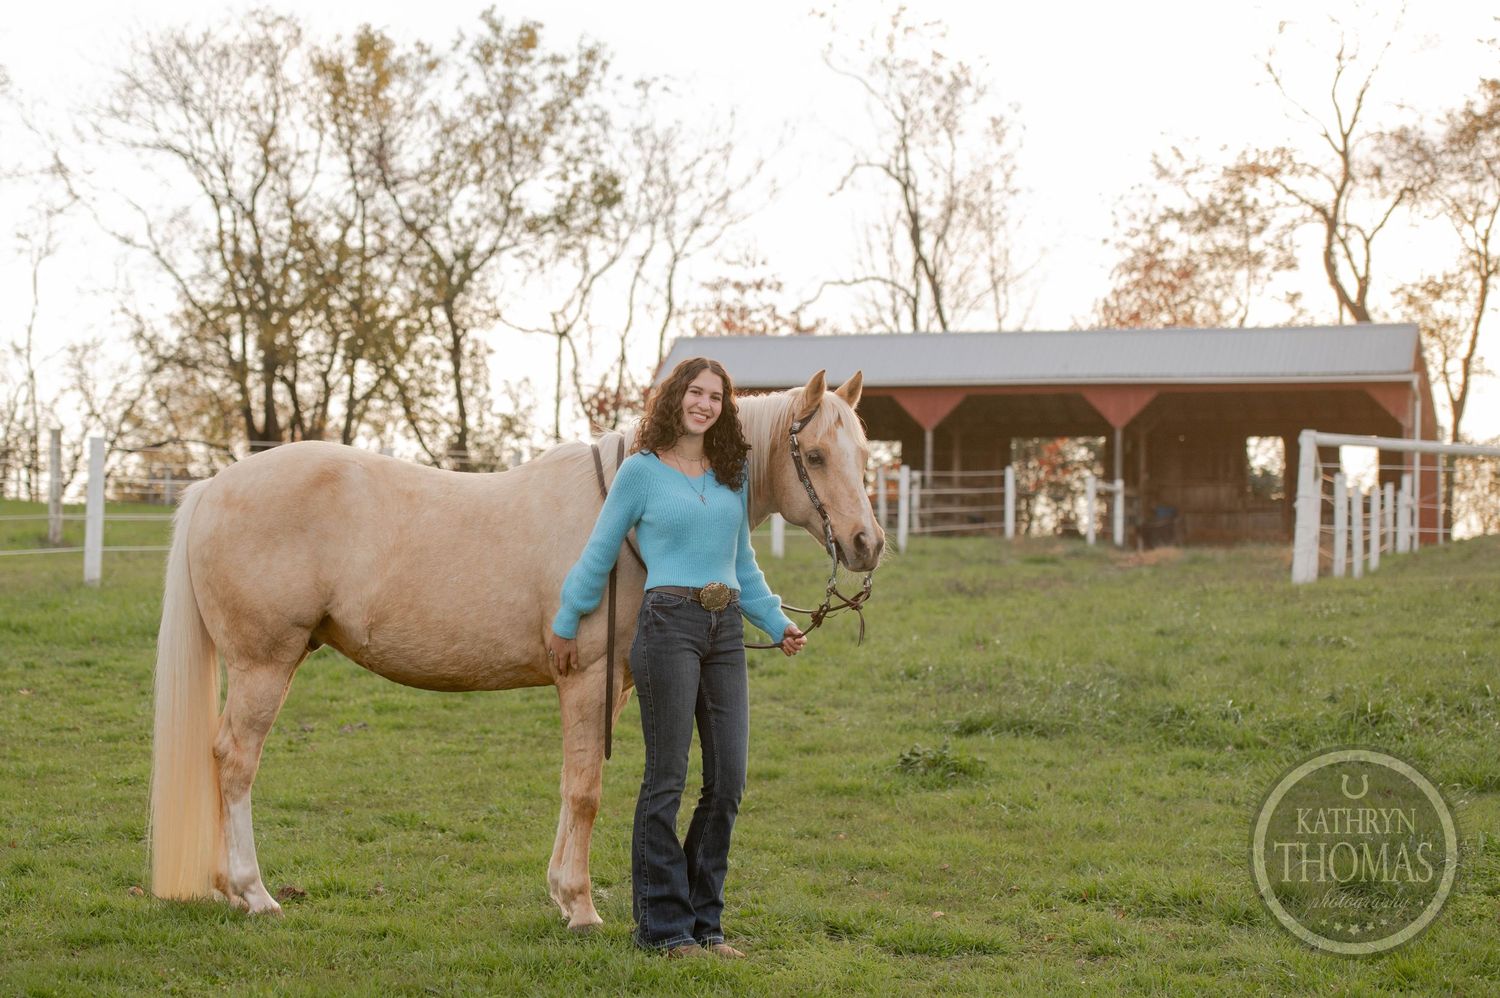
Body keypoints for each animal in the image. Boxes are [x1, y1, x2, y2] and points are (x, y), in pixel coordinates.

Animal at [149, 369, 883, 929]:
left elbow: (572, 785)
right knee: (235, 762)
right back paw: (253, 893)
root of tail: (212, 488)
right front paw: (582, 908)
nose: (867, 543)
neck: (624, 519)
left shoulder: (615, 686)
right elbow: (585, 790)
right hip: (264, 665)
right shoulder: (585, 680)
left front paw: (563, 893)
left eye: (864, 454)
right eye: (817, 456)